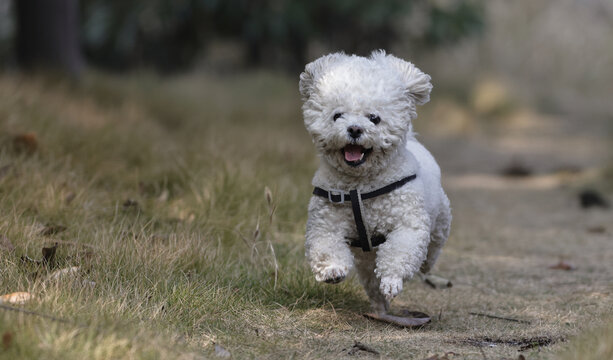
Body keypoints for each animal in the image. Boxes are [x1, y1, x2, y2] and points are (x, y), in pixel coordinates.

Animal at [298, 50, 452, 316]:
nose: (354, 129)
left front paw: (392, 280)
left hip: (440, 219)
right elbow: (326, 244)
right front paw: (332, 270)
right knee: (371, 280)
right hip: (367, 262)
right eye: (337, 115)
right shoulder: (325, 221)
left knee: (433, 247)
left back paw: (424, 267)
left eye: (374, 118)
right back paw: (380, 306)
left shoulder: (407, 224)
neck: (361, 187)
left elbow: (399, 250)